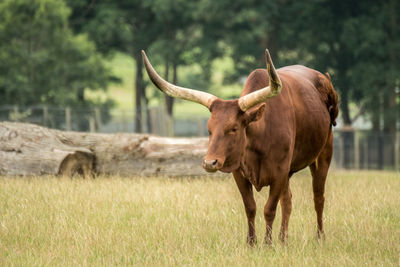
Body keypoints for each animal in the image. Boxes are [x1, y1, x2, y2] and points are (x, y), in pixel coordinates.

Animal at [141, 48, 338, 247]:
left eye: (234, 128)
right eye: (209, 129)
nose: (209, 163)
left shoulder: (280, 171)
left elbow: (269, 209)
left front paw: (267, 244)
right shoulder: (239, 172)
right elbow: (250, 207)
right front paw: (251, 243)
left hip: (323, 154)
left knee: (318, 197)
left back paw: (319, 237)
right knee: (288, 201)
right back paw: (283, 239)